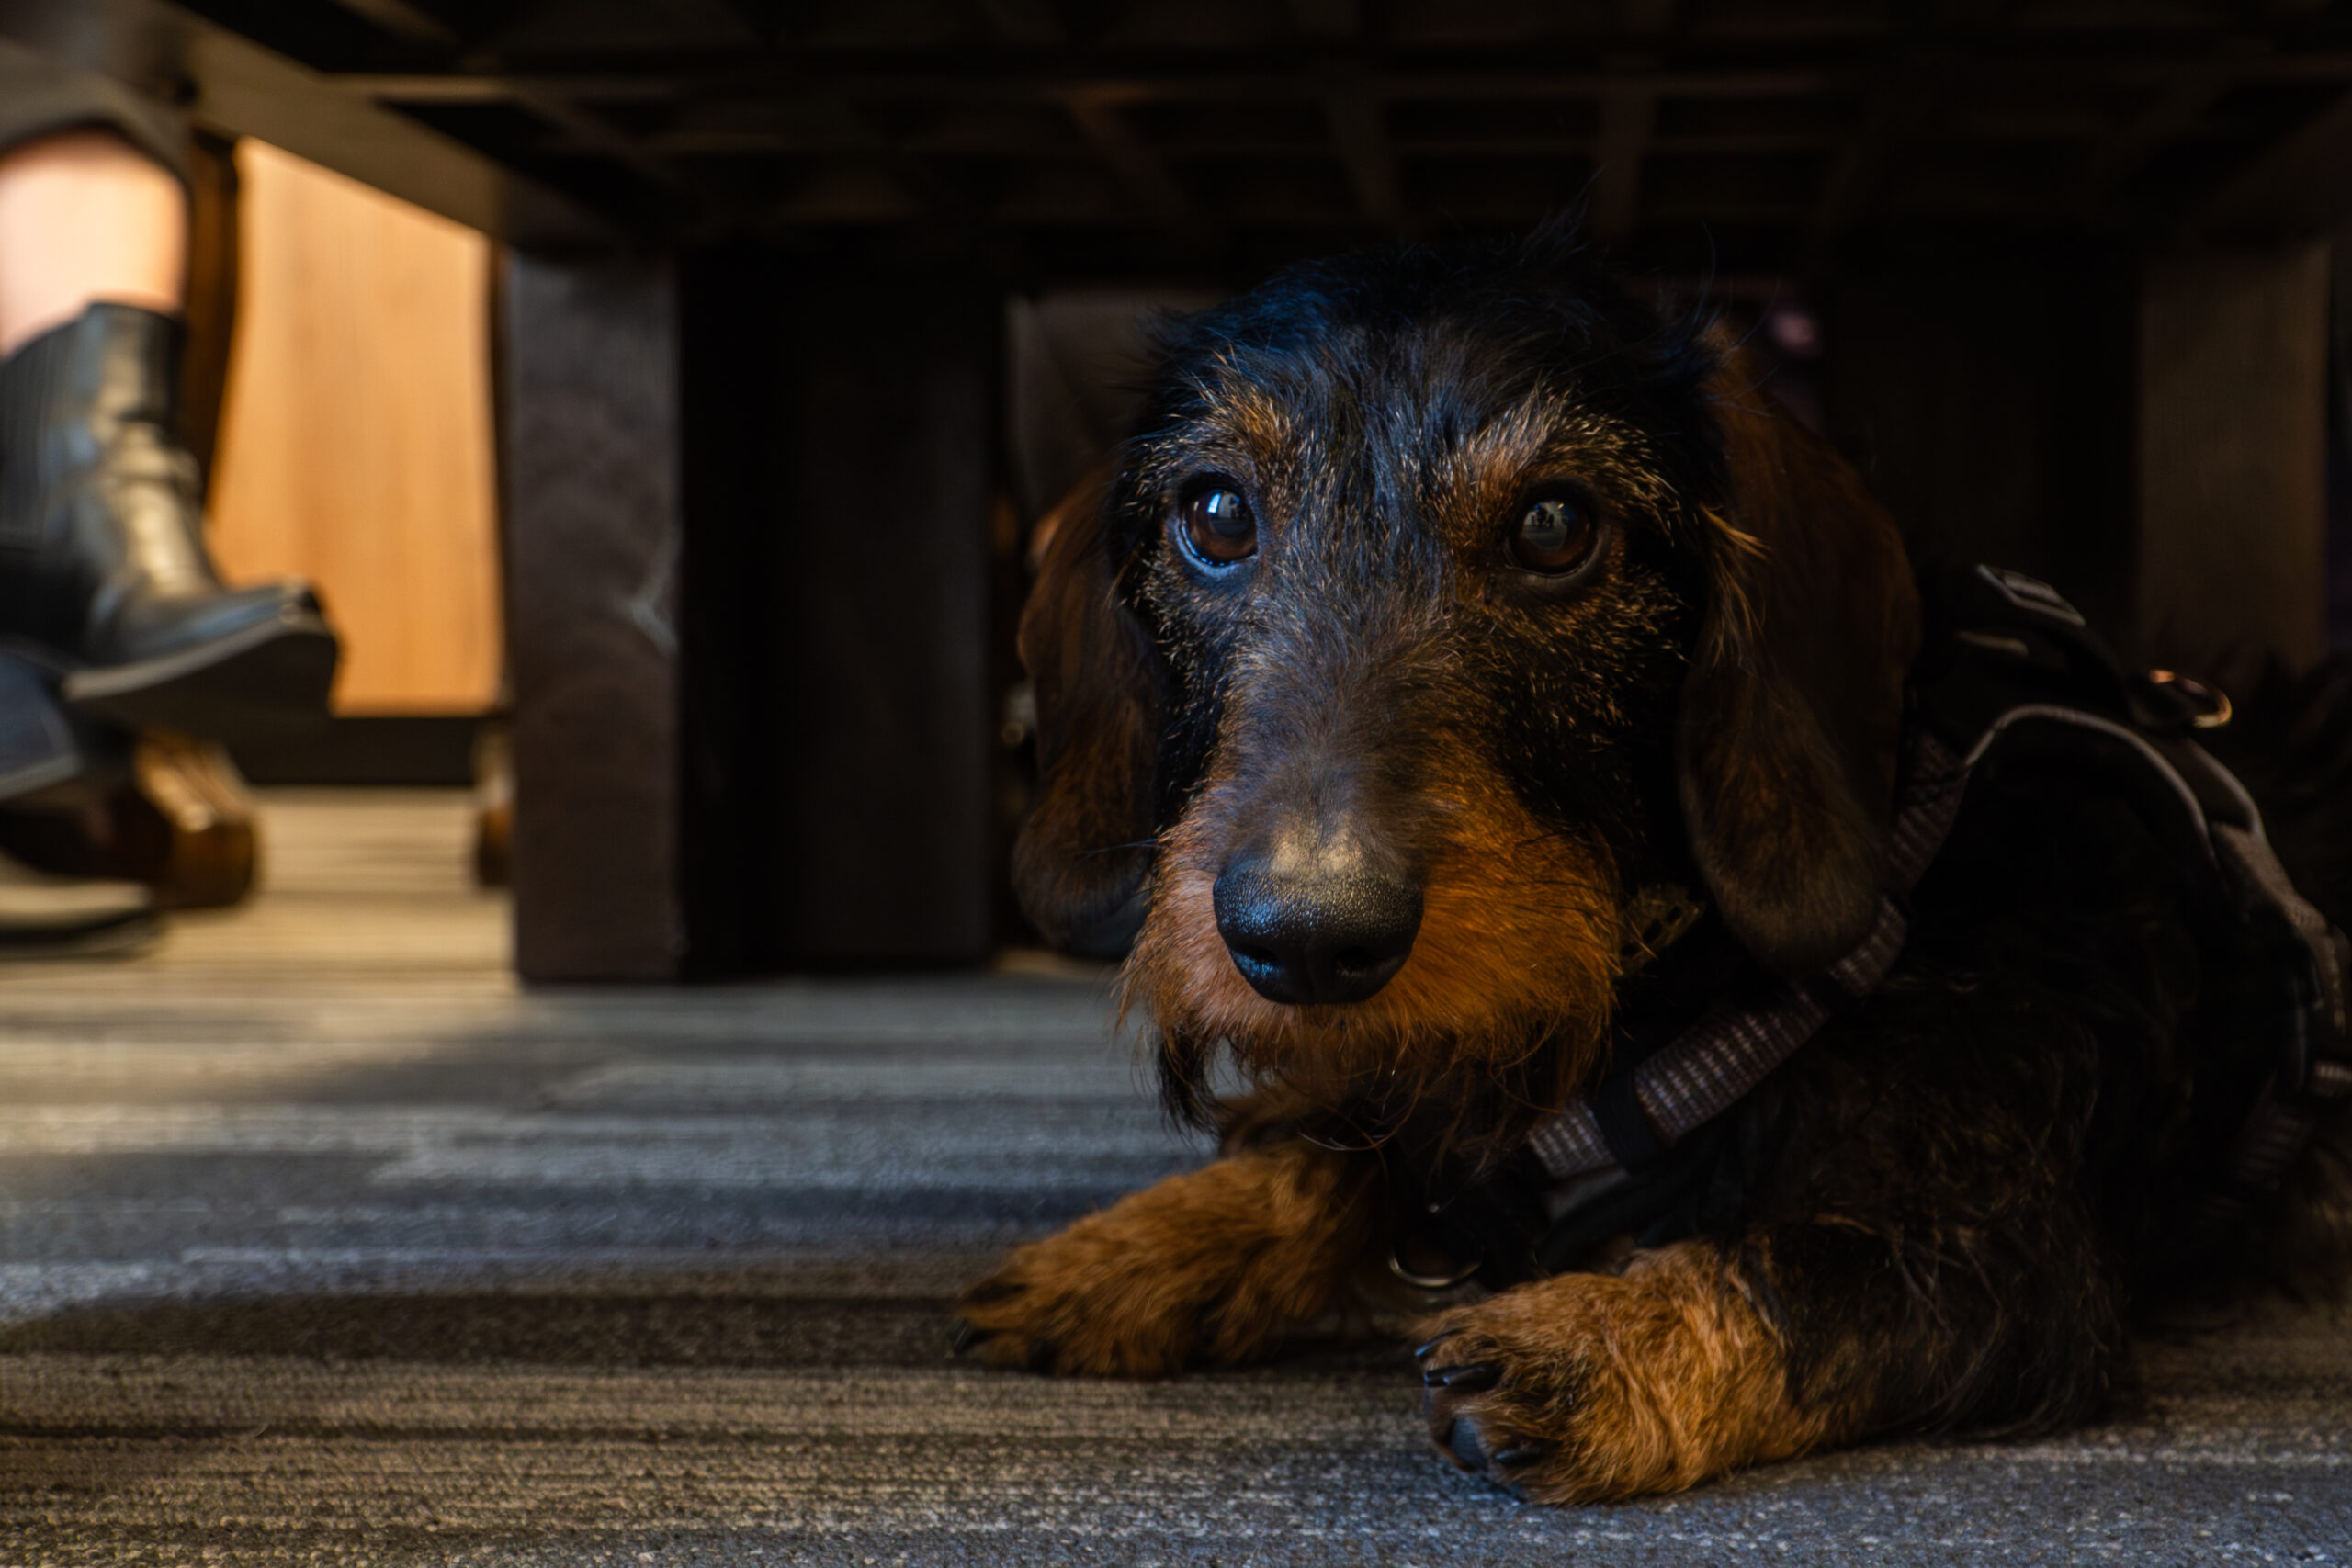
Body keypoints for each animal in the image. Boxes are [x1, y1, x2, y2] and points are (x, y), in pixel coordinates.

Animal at [953, 228, 2352, 1504]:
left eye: (1556, 524)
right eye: (1214, 513)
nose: (1300, 938)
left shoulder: (2011, 1268)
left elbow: (1807, 1269)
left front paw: (1596, 1341)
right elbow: (1341, 1149)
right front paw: (1135, 1249)